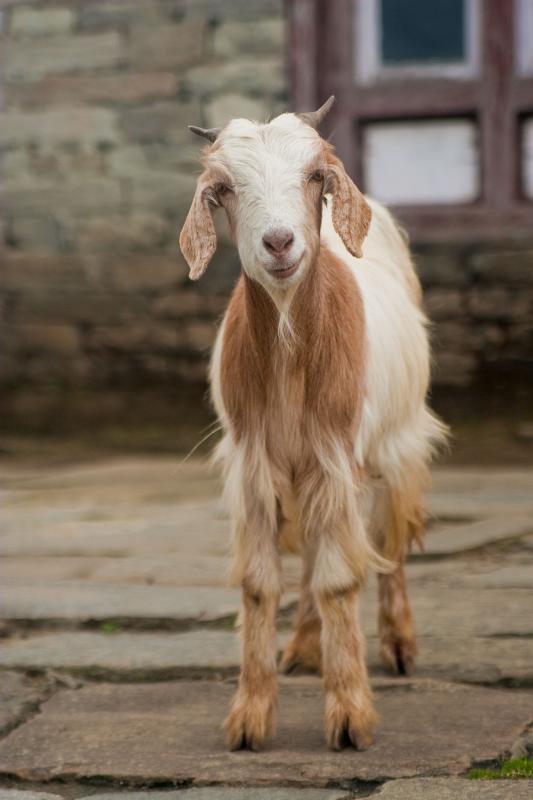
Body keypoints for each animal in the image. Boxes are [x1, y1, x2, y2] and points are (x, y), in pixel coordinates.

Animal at [180, 97, 448, 752]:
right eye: (225, 188)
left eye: (314, 176)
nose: (280, 242)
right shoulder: (254, 463)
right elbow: (261, 582)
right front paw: (249, 719)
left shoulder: (336, 454)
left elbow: (340, 578)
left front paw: (350, 717)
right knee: (310, 548)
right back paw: (304, 645)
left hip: (395, 443)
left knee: (390, 539)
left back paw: (398, 645)